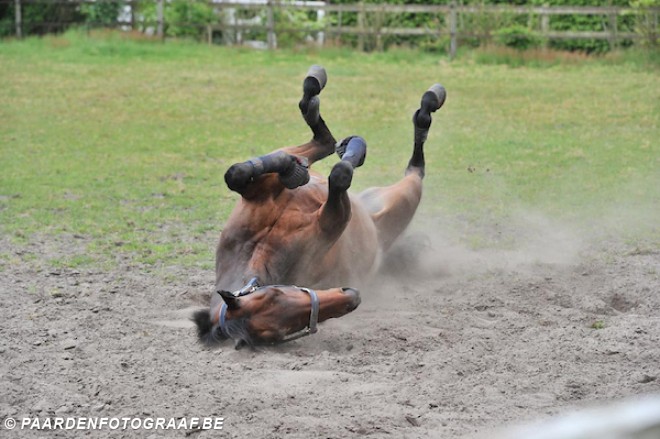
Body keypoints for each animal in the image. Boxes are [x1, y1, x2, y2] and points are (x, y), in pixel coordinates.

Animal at [194, 65, 446, 348]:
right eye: (285, 331)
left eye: (276, 293)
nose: (350, 296)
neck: (259, 249)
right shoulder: (331, 223)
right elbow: (340, 175)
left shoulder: (259, 193)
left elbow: (237, 173)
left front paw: (291, 168)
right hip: (401, 205)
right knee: (414, 171)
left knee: (325, 141)